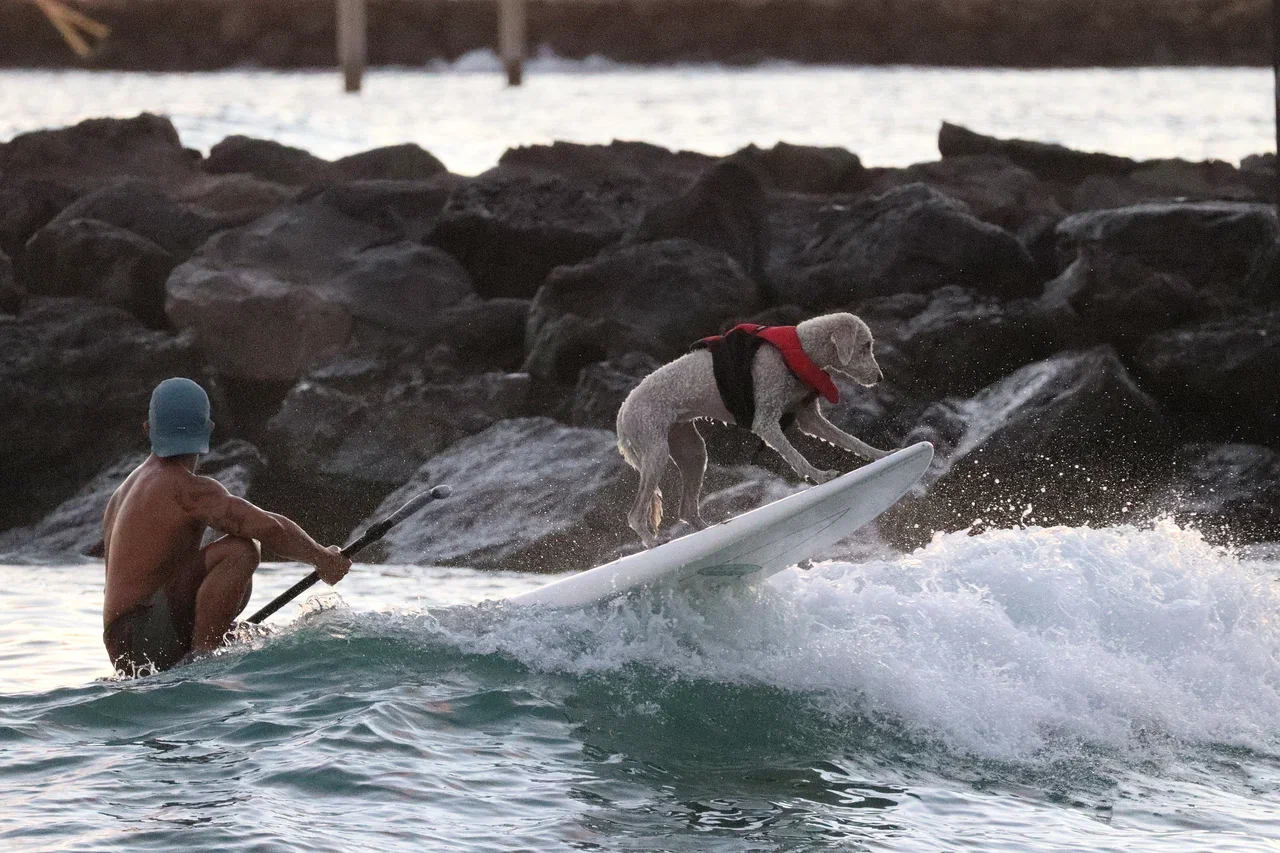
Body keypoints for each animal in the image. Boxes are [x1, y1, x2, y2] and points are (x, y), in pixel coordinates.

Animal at [616, 311, 890, 545]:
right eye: (865, 345)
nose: (879, 378)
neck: (801, 348)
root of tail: (622, 411)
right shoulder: (765, 421)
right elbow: (796, 457)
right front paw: (821, 476)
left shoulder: (809, 417)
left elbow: (850, 440)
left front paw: (881, 454)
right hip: (655, 449)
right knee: (635, 513)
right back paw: (652, 541)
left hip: (690, 449)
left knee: (687, 509)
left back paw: (711, 530)